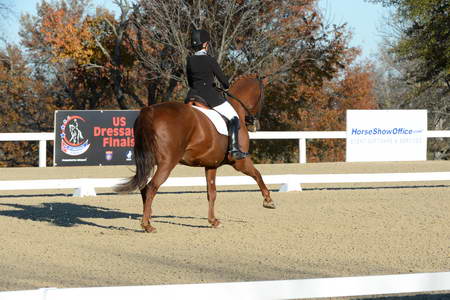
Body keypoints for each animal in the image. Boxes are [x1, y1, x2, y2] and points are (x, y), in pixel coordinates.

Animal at [114, 74, 276, 233]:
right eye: (263, 97)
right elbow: (257, 175)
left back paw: (148, 217)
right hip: (167, 163)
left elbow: (212, 192)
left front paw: (213, 221)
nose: (255, 124)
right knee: (151, 187)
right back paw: (147, 225)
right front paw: (268, 201)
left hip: (148, 161)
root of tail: (150, 111)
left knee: (143, 187)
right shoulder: (240, 162)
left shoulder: (211, 165)